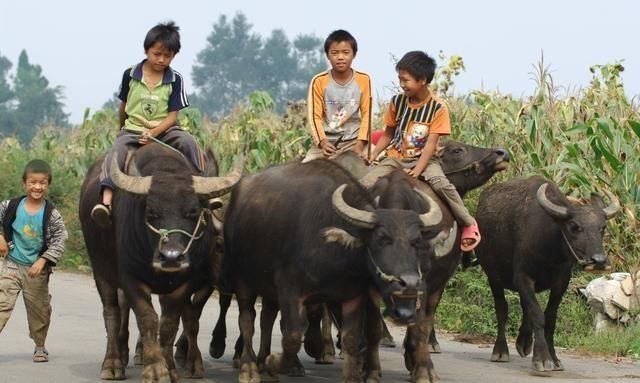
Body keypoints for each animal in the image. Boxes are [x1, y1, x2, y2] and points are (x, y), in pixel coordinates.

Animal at [79, 145, 240, 383]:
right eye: (151, 212)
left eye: (193, 212)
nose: (171, 257)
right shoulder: (130, 278)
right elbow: (147, 318)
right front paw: (155, 369)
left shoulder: (187, 282)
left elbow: (170, 324)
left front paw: (172, 368)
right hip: (100, 269)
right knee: (112, 312)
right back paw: (113, 363)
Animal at [220, 158, 444, 383]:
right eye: (381, 239)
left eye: (416, 242)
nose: (410, 284)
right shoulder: (289, 291)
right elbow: (292, 337)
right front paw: (274, 362)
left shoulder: (353, 295)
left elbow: (351, 339)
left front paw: (351, 377)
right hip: (242, 279)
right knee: (247, 320)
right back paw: (249, 368)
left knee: (266, 318)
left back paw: (261, 364)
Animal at [476, 178, 620, 374]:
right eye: (575, 227)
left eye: (602, 228)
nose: (598, 261)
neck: (551, 250)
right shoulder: (522, 277)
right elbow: (538, 315)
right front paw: (542, 359)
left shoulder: (561, 282)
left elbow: (550, 318)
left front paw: (554, 358)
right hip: (493, 275)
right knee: (502, 309)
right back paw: (500, 351)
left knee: (525, 307)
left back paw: (524, 342)